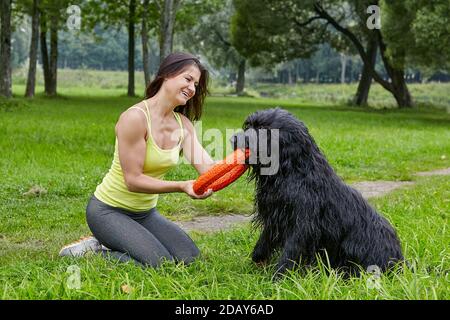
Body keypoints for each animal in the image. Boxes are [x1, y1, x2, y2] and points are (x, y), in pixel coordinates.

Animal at [230, 107, 402, 278]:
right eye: (248, 125)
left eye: (263, 129)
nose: (233, 139)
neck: (291, 172)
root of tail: (400, 261)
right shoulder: (275, 216)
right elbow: (264, 240)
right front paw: (256, 260)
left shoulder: (303, 225)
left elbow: (290, 251)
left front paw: (279, 276)